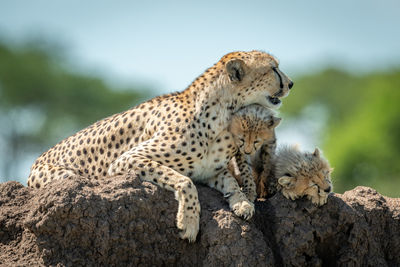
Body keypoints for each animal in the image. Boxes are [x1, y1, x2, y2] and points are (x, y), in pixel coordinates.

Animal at [26, 50, 292, 243]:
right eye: (273, 68)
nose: (290, 83)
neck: (222, 116)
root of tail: (35, 161)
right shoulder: (126, 160)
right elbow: (184, 181)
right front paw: (189, 222)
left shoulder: (210, 172)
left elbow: (230, 182)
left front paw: (242, 203)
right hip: (67, 178)